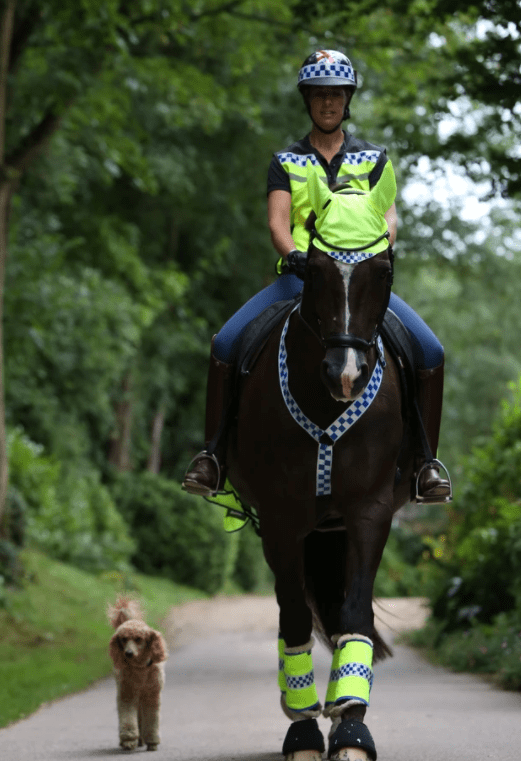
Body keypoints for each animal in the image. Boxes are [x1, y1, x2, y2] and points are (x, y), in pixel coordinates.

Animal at [227, 164, 415, 761]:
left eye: (384, 269)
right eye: (313, 268)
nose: (347, 374)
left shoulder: (369, 513)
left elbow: (354, 615)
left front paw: (351, 728)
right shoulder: (281, 519)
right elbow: (292, 619)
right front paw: (305, 728)